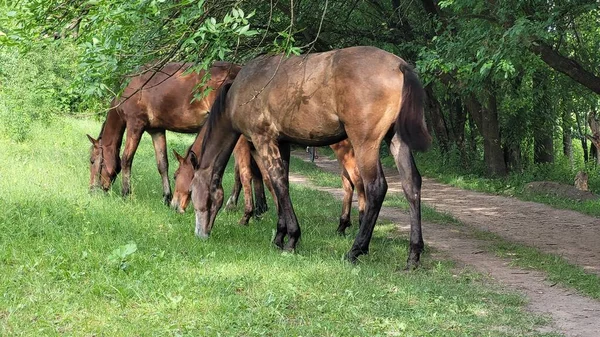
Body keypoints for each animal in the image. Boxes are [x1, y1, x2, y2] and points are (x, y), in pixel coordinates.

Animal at [87, 60, 241, 202]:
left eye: (92, 161)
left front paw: (126, 193)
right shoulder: (157, 131)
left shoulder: (135, 125)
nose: (92, 190)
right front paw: (167, 196)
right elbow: (162, 164)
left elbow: (126, 159)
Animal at [190, 46, 428, 268]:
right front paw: (280, 236)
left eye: (193, 193)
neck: (240, 92)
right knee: (411, 185)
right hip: (396, 138)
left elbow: (277, 183)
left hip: (364, 143)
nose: (200, 234)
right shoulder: (282, 143)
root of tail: (399, 66)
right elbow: (281, 184)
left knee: (375, 187)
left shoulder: (262, 140)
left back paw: (355, 250)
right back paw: (413, 255)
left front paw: (292, 238)